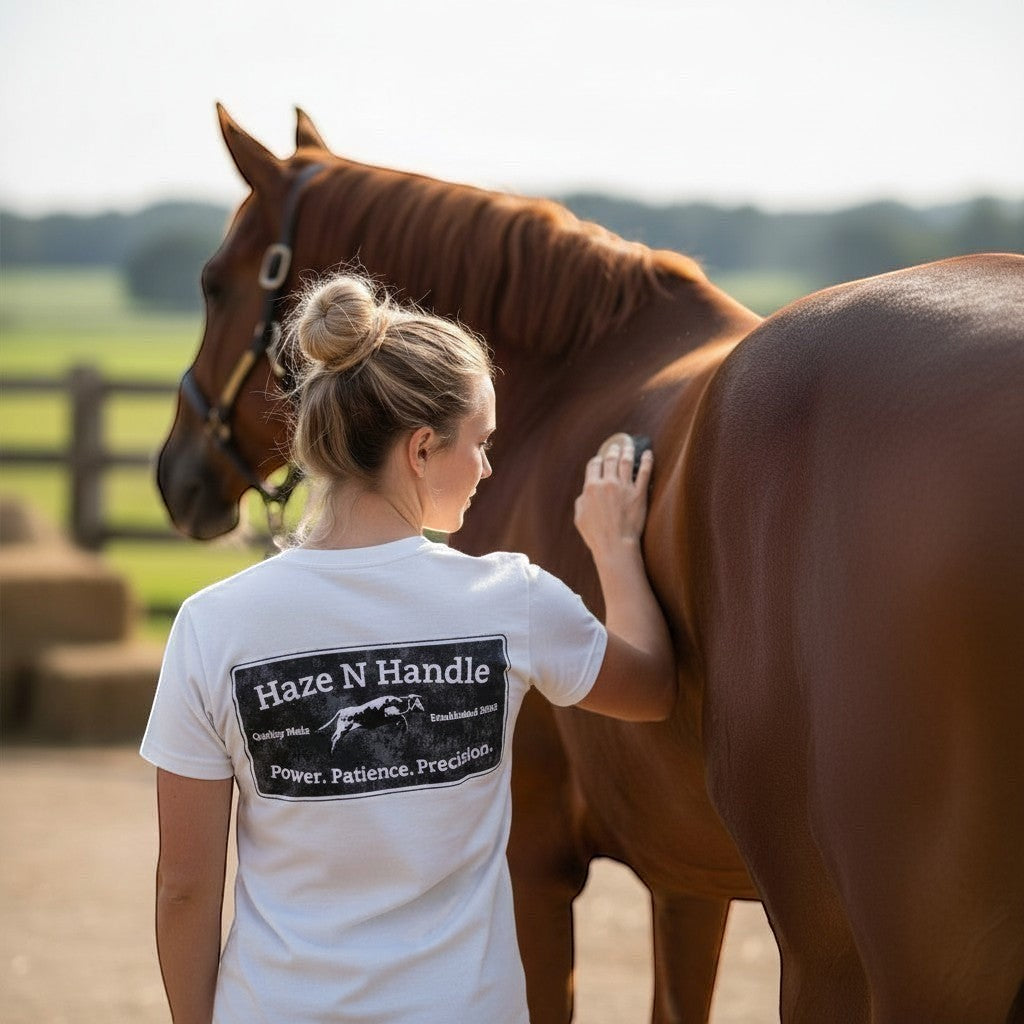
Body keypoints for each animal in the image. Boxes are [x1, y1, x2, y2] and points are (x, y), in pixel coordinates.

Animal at [158, 106, 1024, 1023]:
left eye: (215, 283)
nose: (175, 474)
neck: (571, 377)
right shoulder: (687, 877)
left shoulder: (535, 857)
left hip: (856, 953)